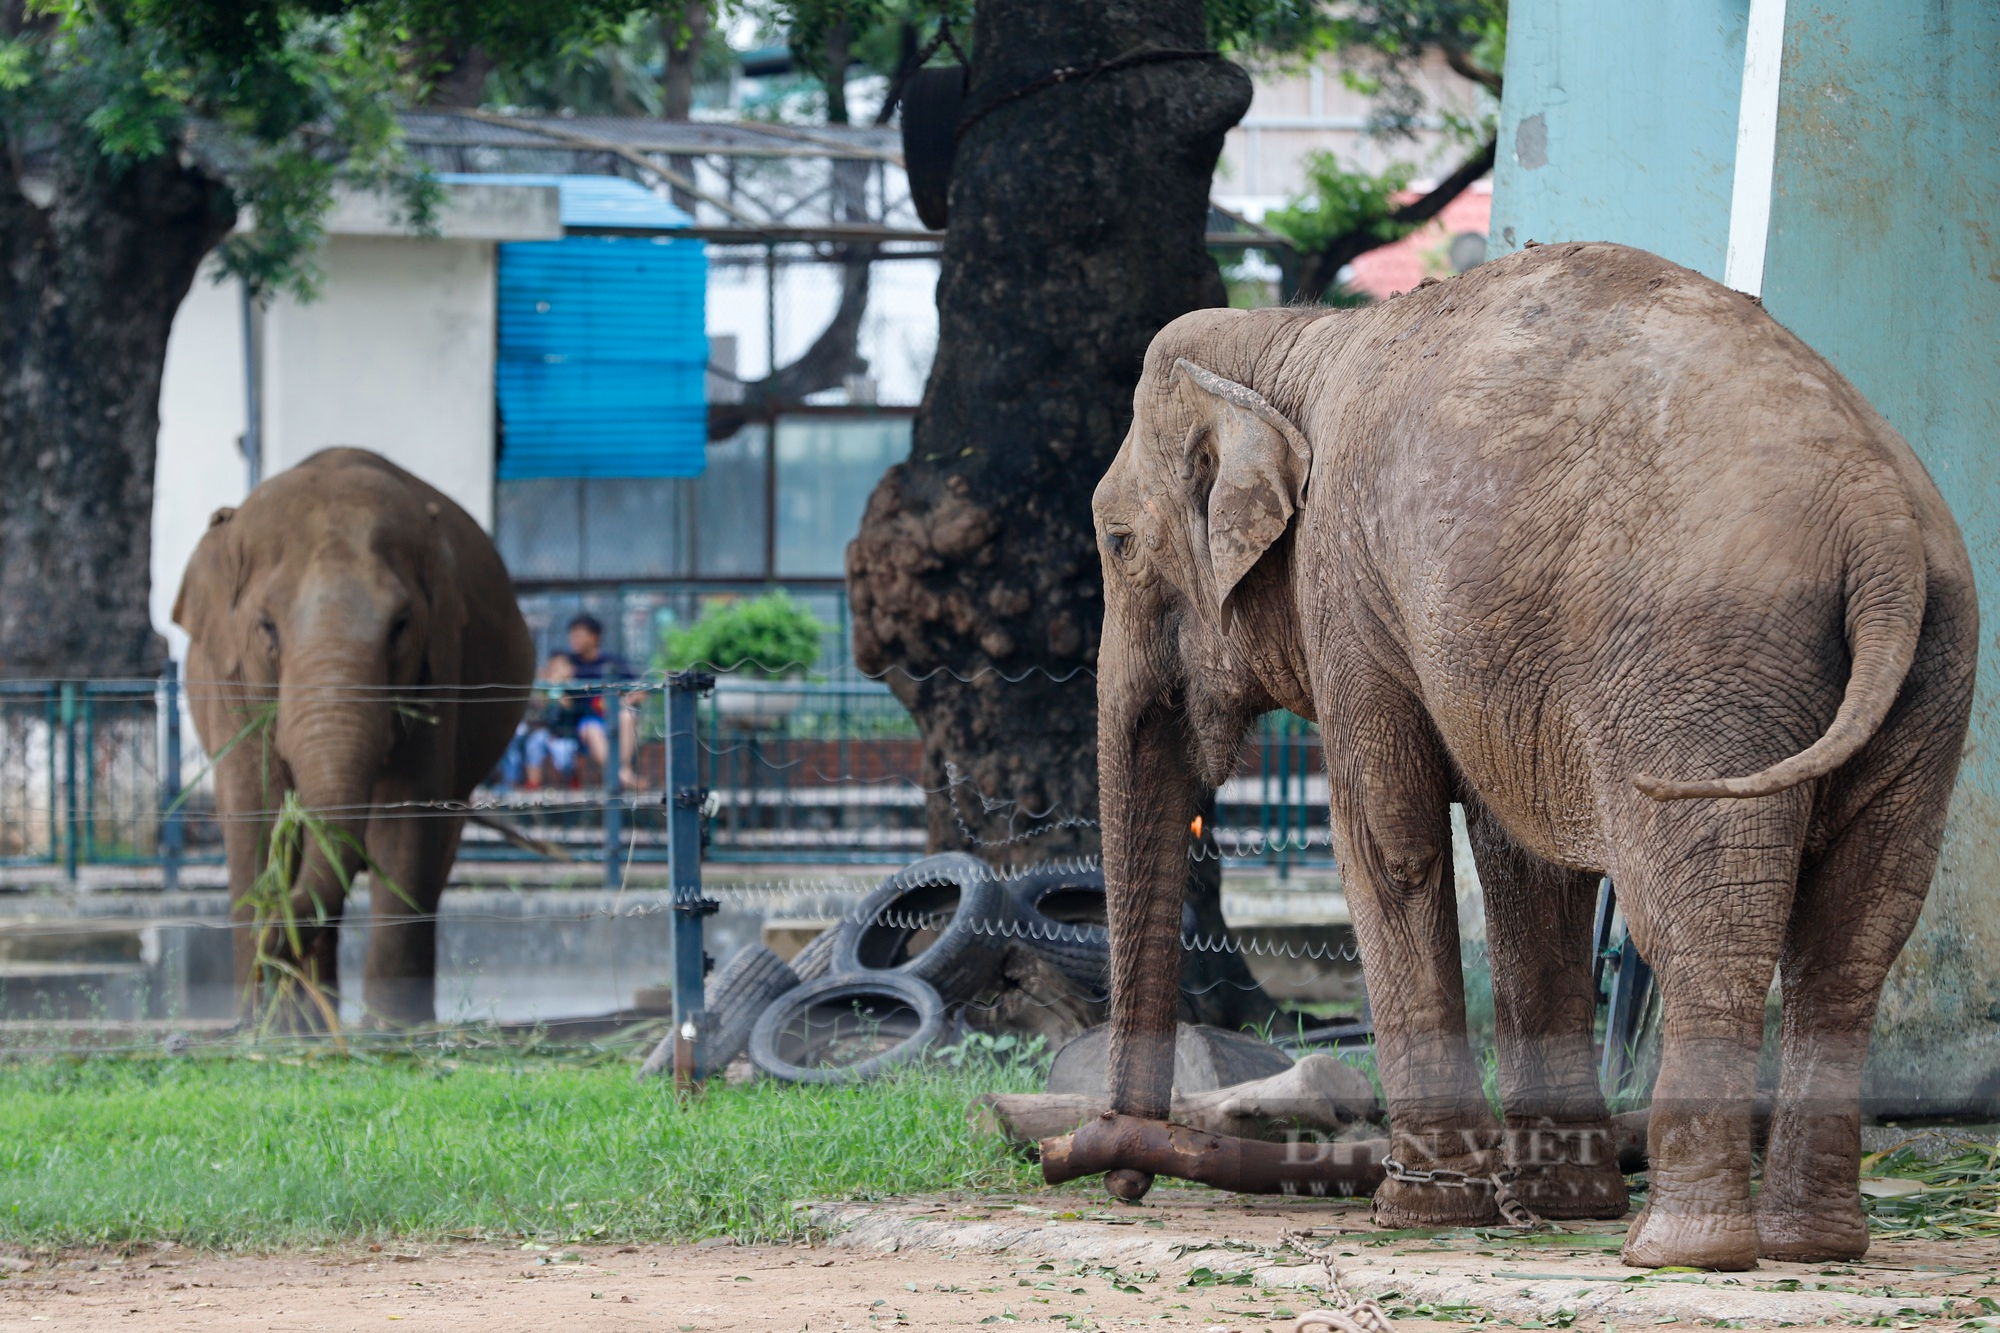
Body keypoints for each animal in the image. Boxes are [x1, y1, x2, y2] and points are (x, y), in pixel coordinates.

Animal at [175, 452, 532, 1020]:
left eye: (401, 626)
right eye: (267, 627)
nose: (269, 936)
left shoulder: (440, 671)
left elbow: (405, 821)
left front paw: (391, 1032)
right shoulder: (227, 679)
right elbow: (257, 811)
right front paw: (259, 1023)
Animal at [1088, 241, 1976, 1264]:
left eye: (1117, 540)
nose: (1120, 1170)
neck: (1292, 341)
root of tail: (1878, 523)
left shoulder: (1346, 586)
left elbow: (1391, 843)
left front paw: (1422, 1208)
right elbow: (1531, 871)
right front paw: (1559, 1200)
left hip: (1703, 677)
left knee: (1702, 928)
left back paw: (1682, 1247)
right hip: (1928, 678)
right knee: (1854, 941)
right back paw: (1812, 1244)